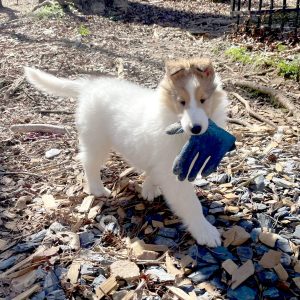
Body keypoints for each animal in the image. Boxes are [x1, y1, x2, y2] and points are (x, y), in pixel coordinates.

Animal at [25, 58, 227, 246]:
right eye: (181, 102)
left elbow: (154, 173)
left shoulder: (164, 163)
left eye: (203, 100)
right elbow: (191, 204)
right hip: (96, 140)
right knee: (89, 162)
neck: (170, 118)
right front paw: (205, 232)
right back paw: (98, 189)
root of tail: (89, 87)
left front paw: (148, 189)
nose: (196, 128)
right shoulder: (174, 174)